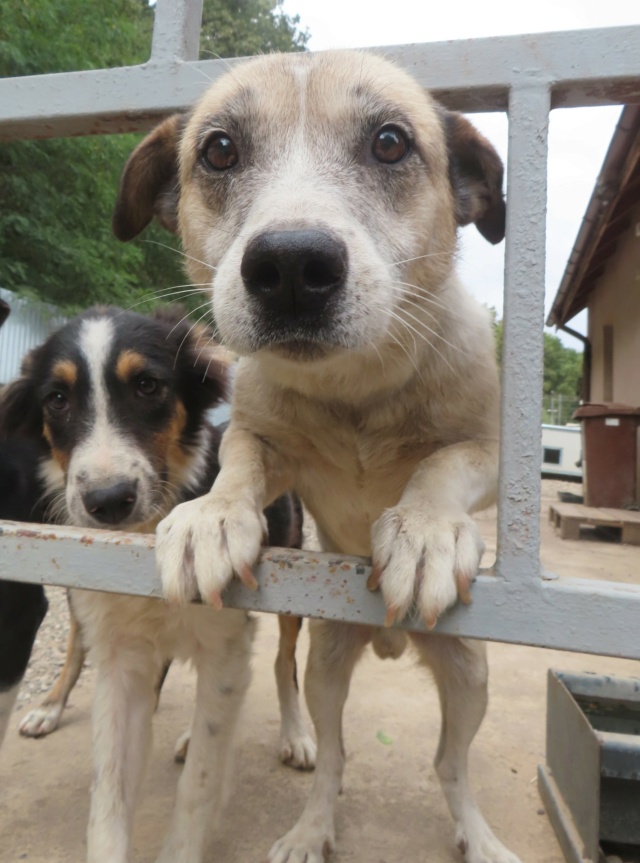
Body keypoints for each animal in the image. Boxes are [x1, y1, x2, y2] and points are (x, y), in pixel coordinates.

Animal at [115, 50, 520, 863]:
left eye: (391, 142)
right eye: (219, 149)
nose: (292, 265)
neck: (354, 392)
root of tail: (389, 640)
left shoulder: (488, 452)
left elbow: (442, 465)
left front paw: (426, 530)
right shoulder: (262, 440)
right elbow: (240, 462)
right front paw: (212, 517)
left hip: (469, 672)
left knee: (449, 764)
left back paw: (478, 835)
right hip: (328, 660)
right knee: (333, 754)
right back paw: (309, 828)